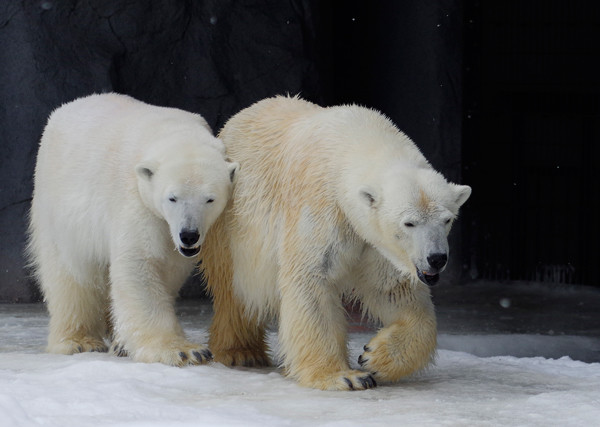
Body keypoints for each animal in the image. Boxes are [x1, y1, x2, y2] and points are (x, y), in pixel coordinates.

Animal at [28, 93, 238, 368]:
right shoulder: (135, 196)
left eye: (210, 199)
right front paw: (184, 351)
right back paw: (78, 341)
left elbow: (168, 267)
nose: (189, 235)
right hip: (58, 204)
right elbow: (140, 261)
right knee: (72, 274)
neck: (173, 131)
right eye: (172, 198)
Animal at [199, 96, 472, 392]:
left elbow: (393, 289)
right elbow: (312, 279)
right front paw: (343, 376)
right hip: (232, 225)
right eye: (408, 223)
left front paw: (375, 357)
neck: (355, 140)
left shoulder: (374, 242)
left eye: (447, 219)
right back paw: (241, 352)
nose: (436, 258)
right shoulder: (323, 206)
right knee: (235, 288)